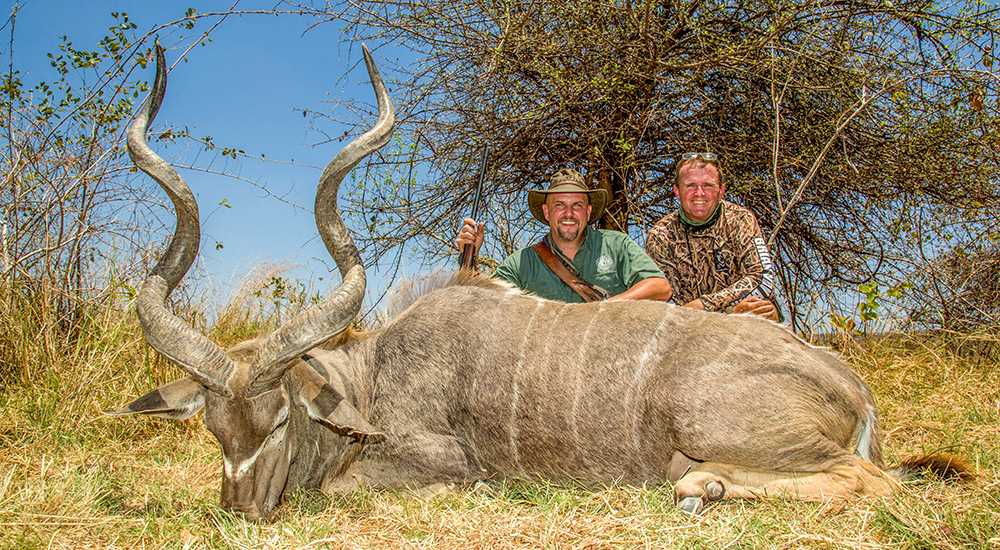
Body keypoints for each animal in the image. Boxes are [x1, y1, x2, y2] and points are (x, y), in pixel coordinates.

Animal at [113, 46, 964, 520]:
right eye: (215, 430)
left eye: (280, 422)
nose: (241, 514)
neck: (368, 373)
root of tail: (851, 385)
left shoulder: (438, 460)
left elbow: (353, 489)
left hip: (719, 426)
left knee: (870, 483)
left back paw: (705, 487)